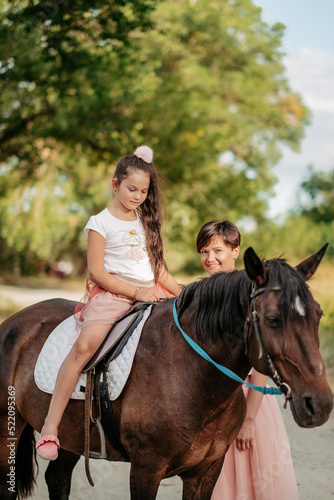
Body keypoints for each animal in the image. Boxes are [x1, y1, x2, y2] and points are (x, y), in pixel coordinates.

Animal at [0, 247, 332, 500]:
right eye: (273, 319)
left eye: (318, 314)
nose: (320, 404)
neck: (191, 375)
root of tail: (14, 322)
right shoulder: (146, 470)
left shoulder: (205, 473)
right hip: (9, 434)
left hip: (72, 433)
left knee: (58, 479)